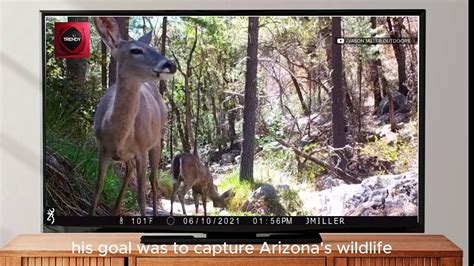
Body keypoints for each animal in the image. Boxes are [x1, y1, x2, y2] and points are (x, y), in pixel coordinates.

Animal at [89, 16, 176, 216]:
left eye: (156, 49)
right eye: (136, 50)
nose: (171, 64)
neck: (117, 136)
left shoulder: (142, 149)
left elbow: (141, 196)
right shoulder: (102, 148)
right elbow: (97, 187)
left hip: (157, 140)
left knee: (153, 180)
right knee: (130, 170)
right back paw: (115, 210)